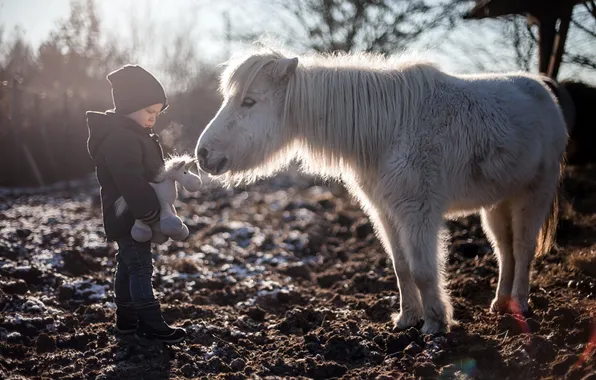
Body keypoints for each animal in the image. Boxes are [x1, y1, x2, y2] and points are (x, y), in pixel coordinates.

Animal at [196, 46, 568, 334]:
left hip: (533, 195)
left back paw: (519, 302)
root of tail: (542, 89)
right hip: (496, 204)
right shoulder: (386, 212)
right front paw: (407, 319)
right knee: (504, 250)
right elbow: (402, 268)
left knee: (522, 248)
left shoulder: (418, 214)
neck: (389, 129)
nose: (202, 154)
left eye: (249, 102)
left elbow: (423, 270)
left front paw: (435, 325)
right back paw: (500, 303)